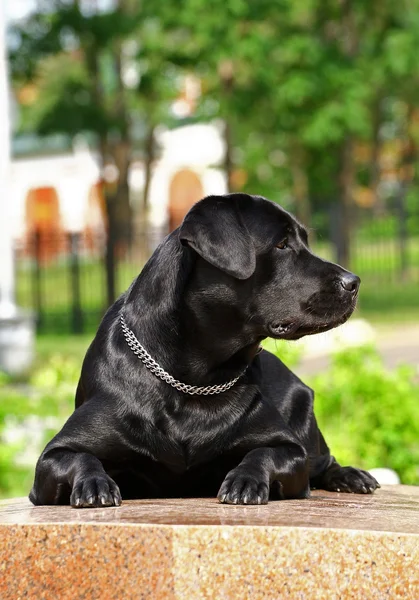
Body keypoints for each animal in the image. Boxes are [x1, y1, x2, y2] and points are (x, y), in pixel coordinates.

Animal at [29, 193, 378, 506]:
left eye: (303, 240)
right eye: (281, 244)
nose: (354, 282)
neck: (194, 378)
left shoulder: (291, 449)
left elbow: (264, 453)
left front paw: (244, 479)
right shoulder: (51, 458)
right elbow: (80, 458)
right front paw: (95, 483)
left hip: (303, 415)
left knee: (324, 461)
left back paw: (352, 476)